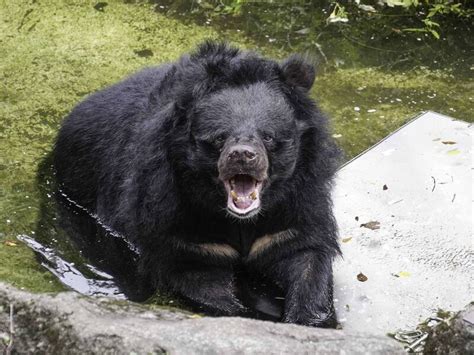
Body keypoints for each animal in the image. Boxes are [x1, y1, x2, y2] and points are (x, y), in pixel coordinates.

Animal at [54, 41, 340, 328]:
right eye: (220, 138)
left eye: (267, 137)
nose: (242, 155)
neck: (240, 220)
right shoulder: (176, 220)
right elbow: (197, 276)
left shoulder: (295, 208)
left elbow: (306, 259)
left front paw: (308, 318)